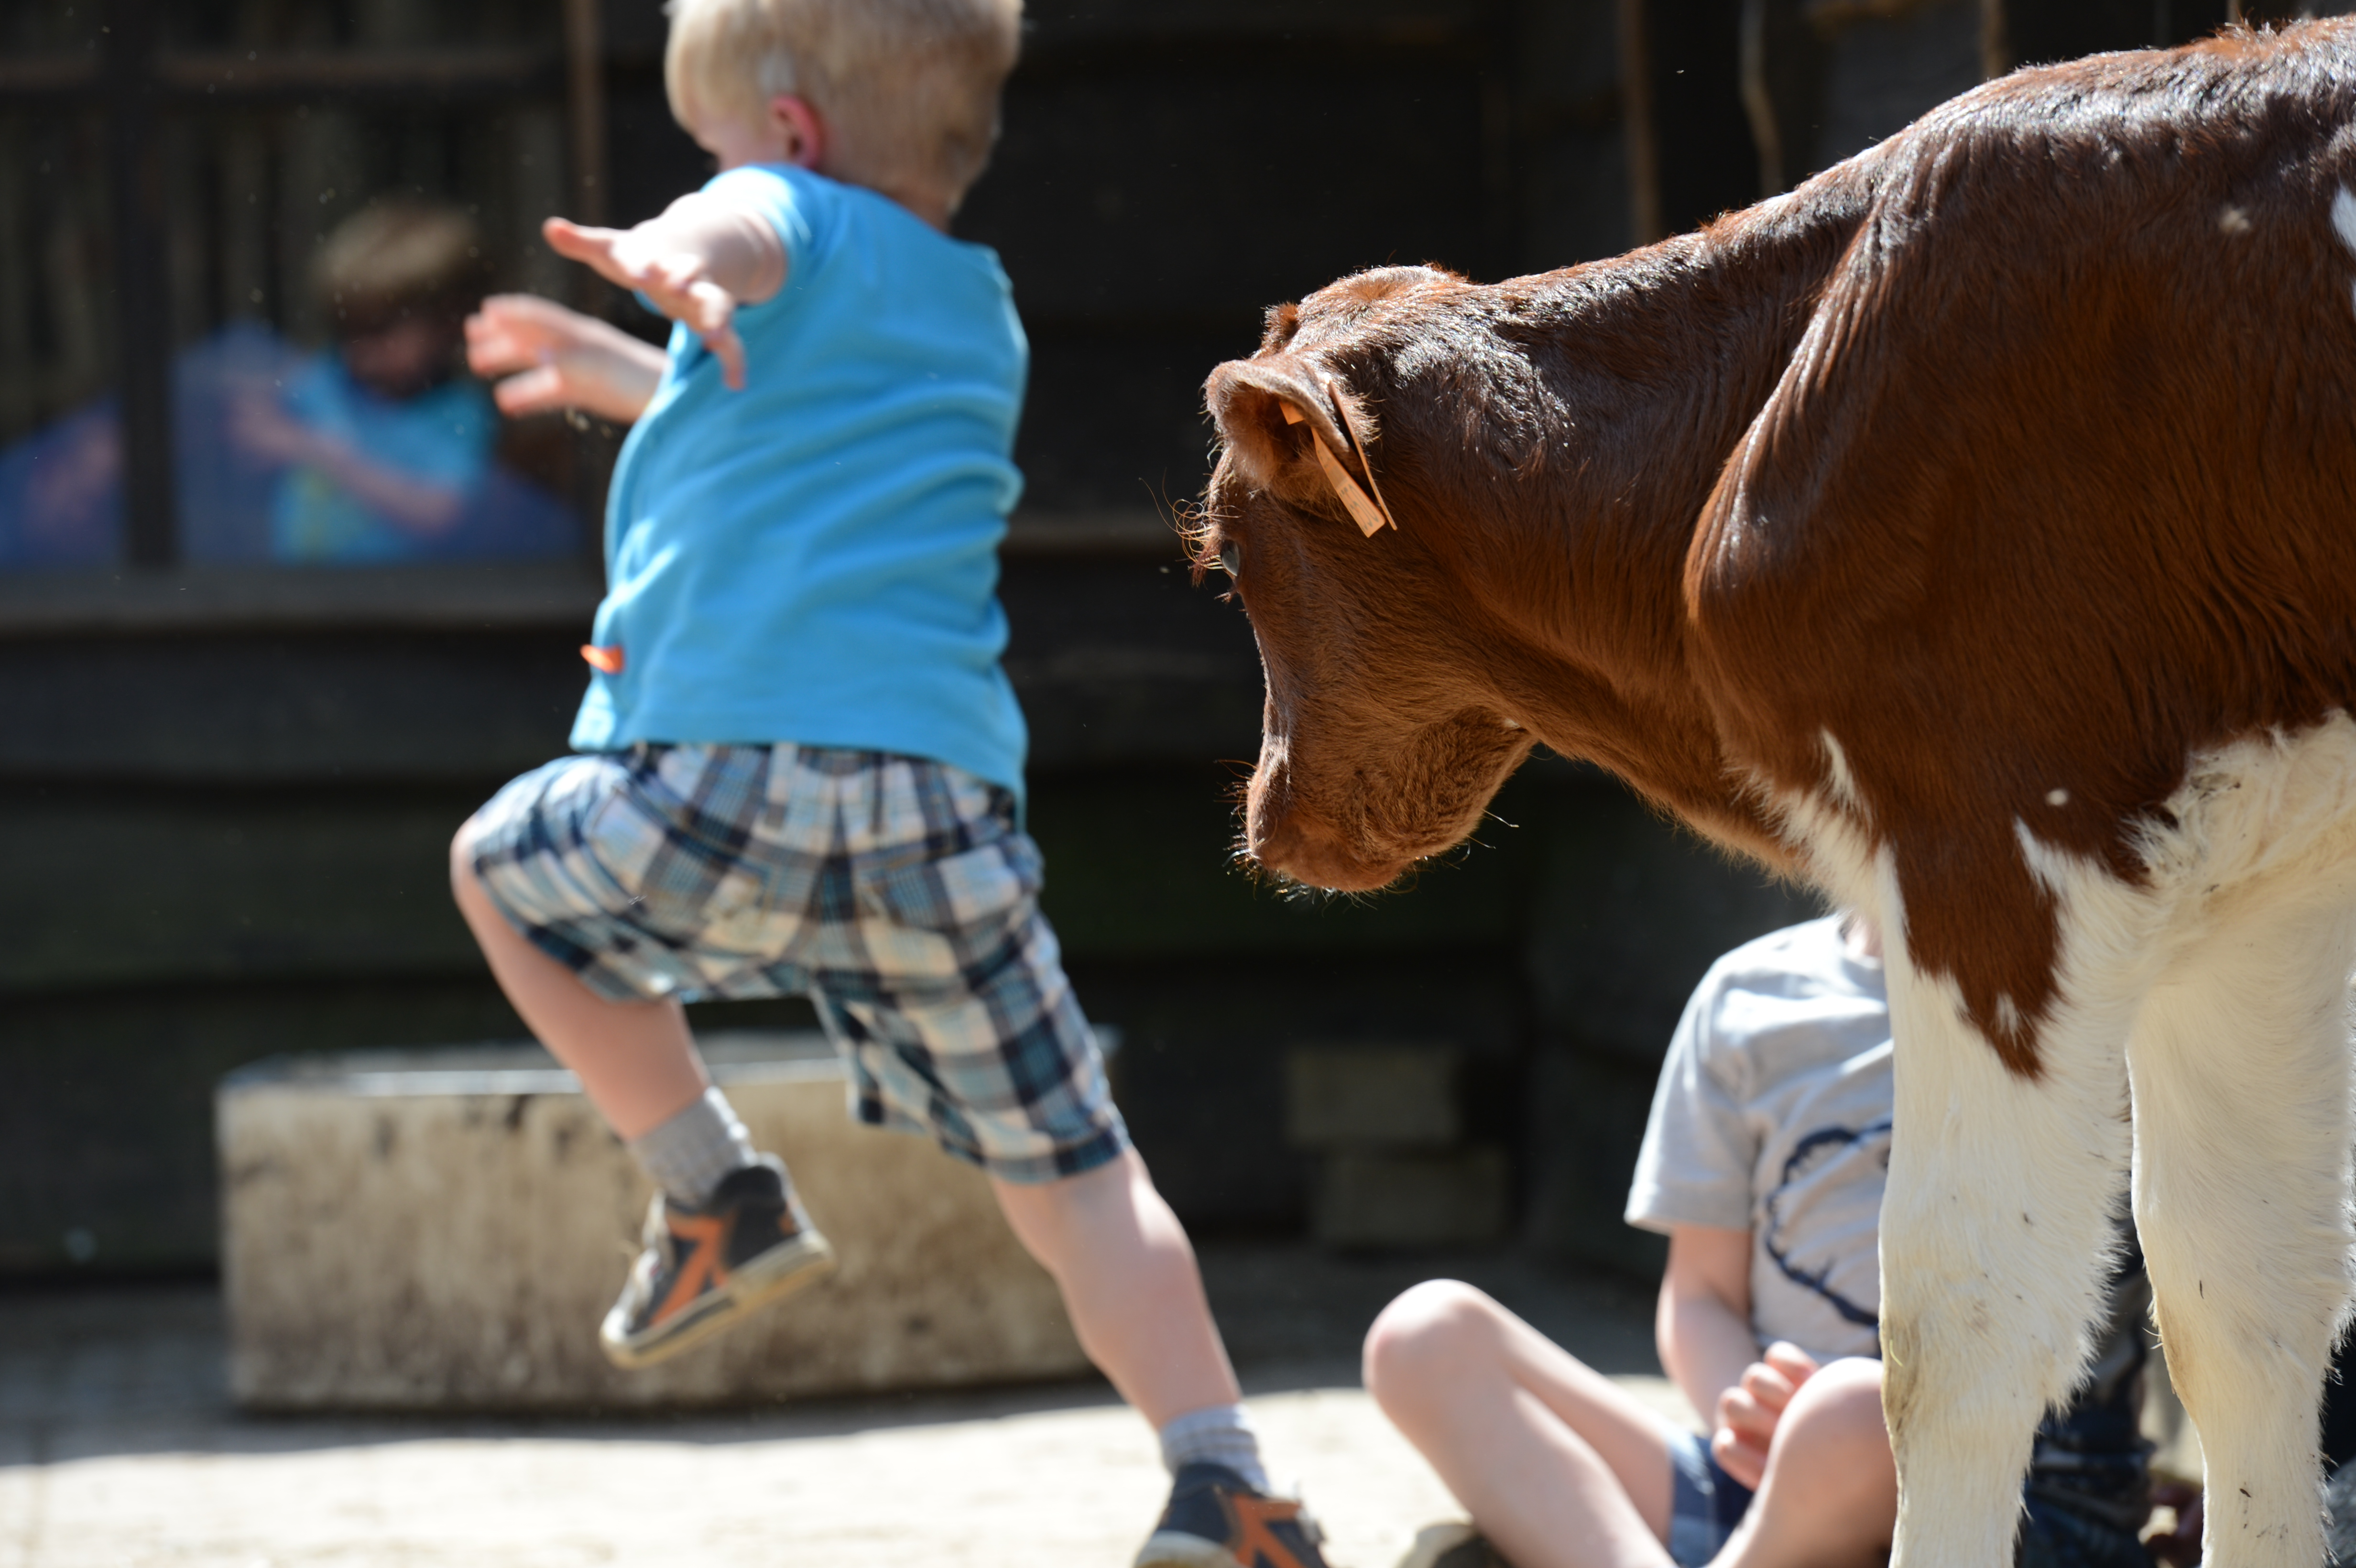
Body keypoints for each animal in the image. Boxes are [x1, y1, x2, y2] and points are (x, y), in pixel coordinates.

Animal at [1197, 19, 2356, 1568]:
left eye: (1230, 558)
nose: (1270, 819)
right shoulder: (2256, 881)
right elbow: (2244, 1295)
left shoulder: (1991, 824)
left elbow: (1959, 1328)